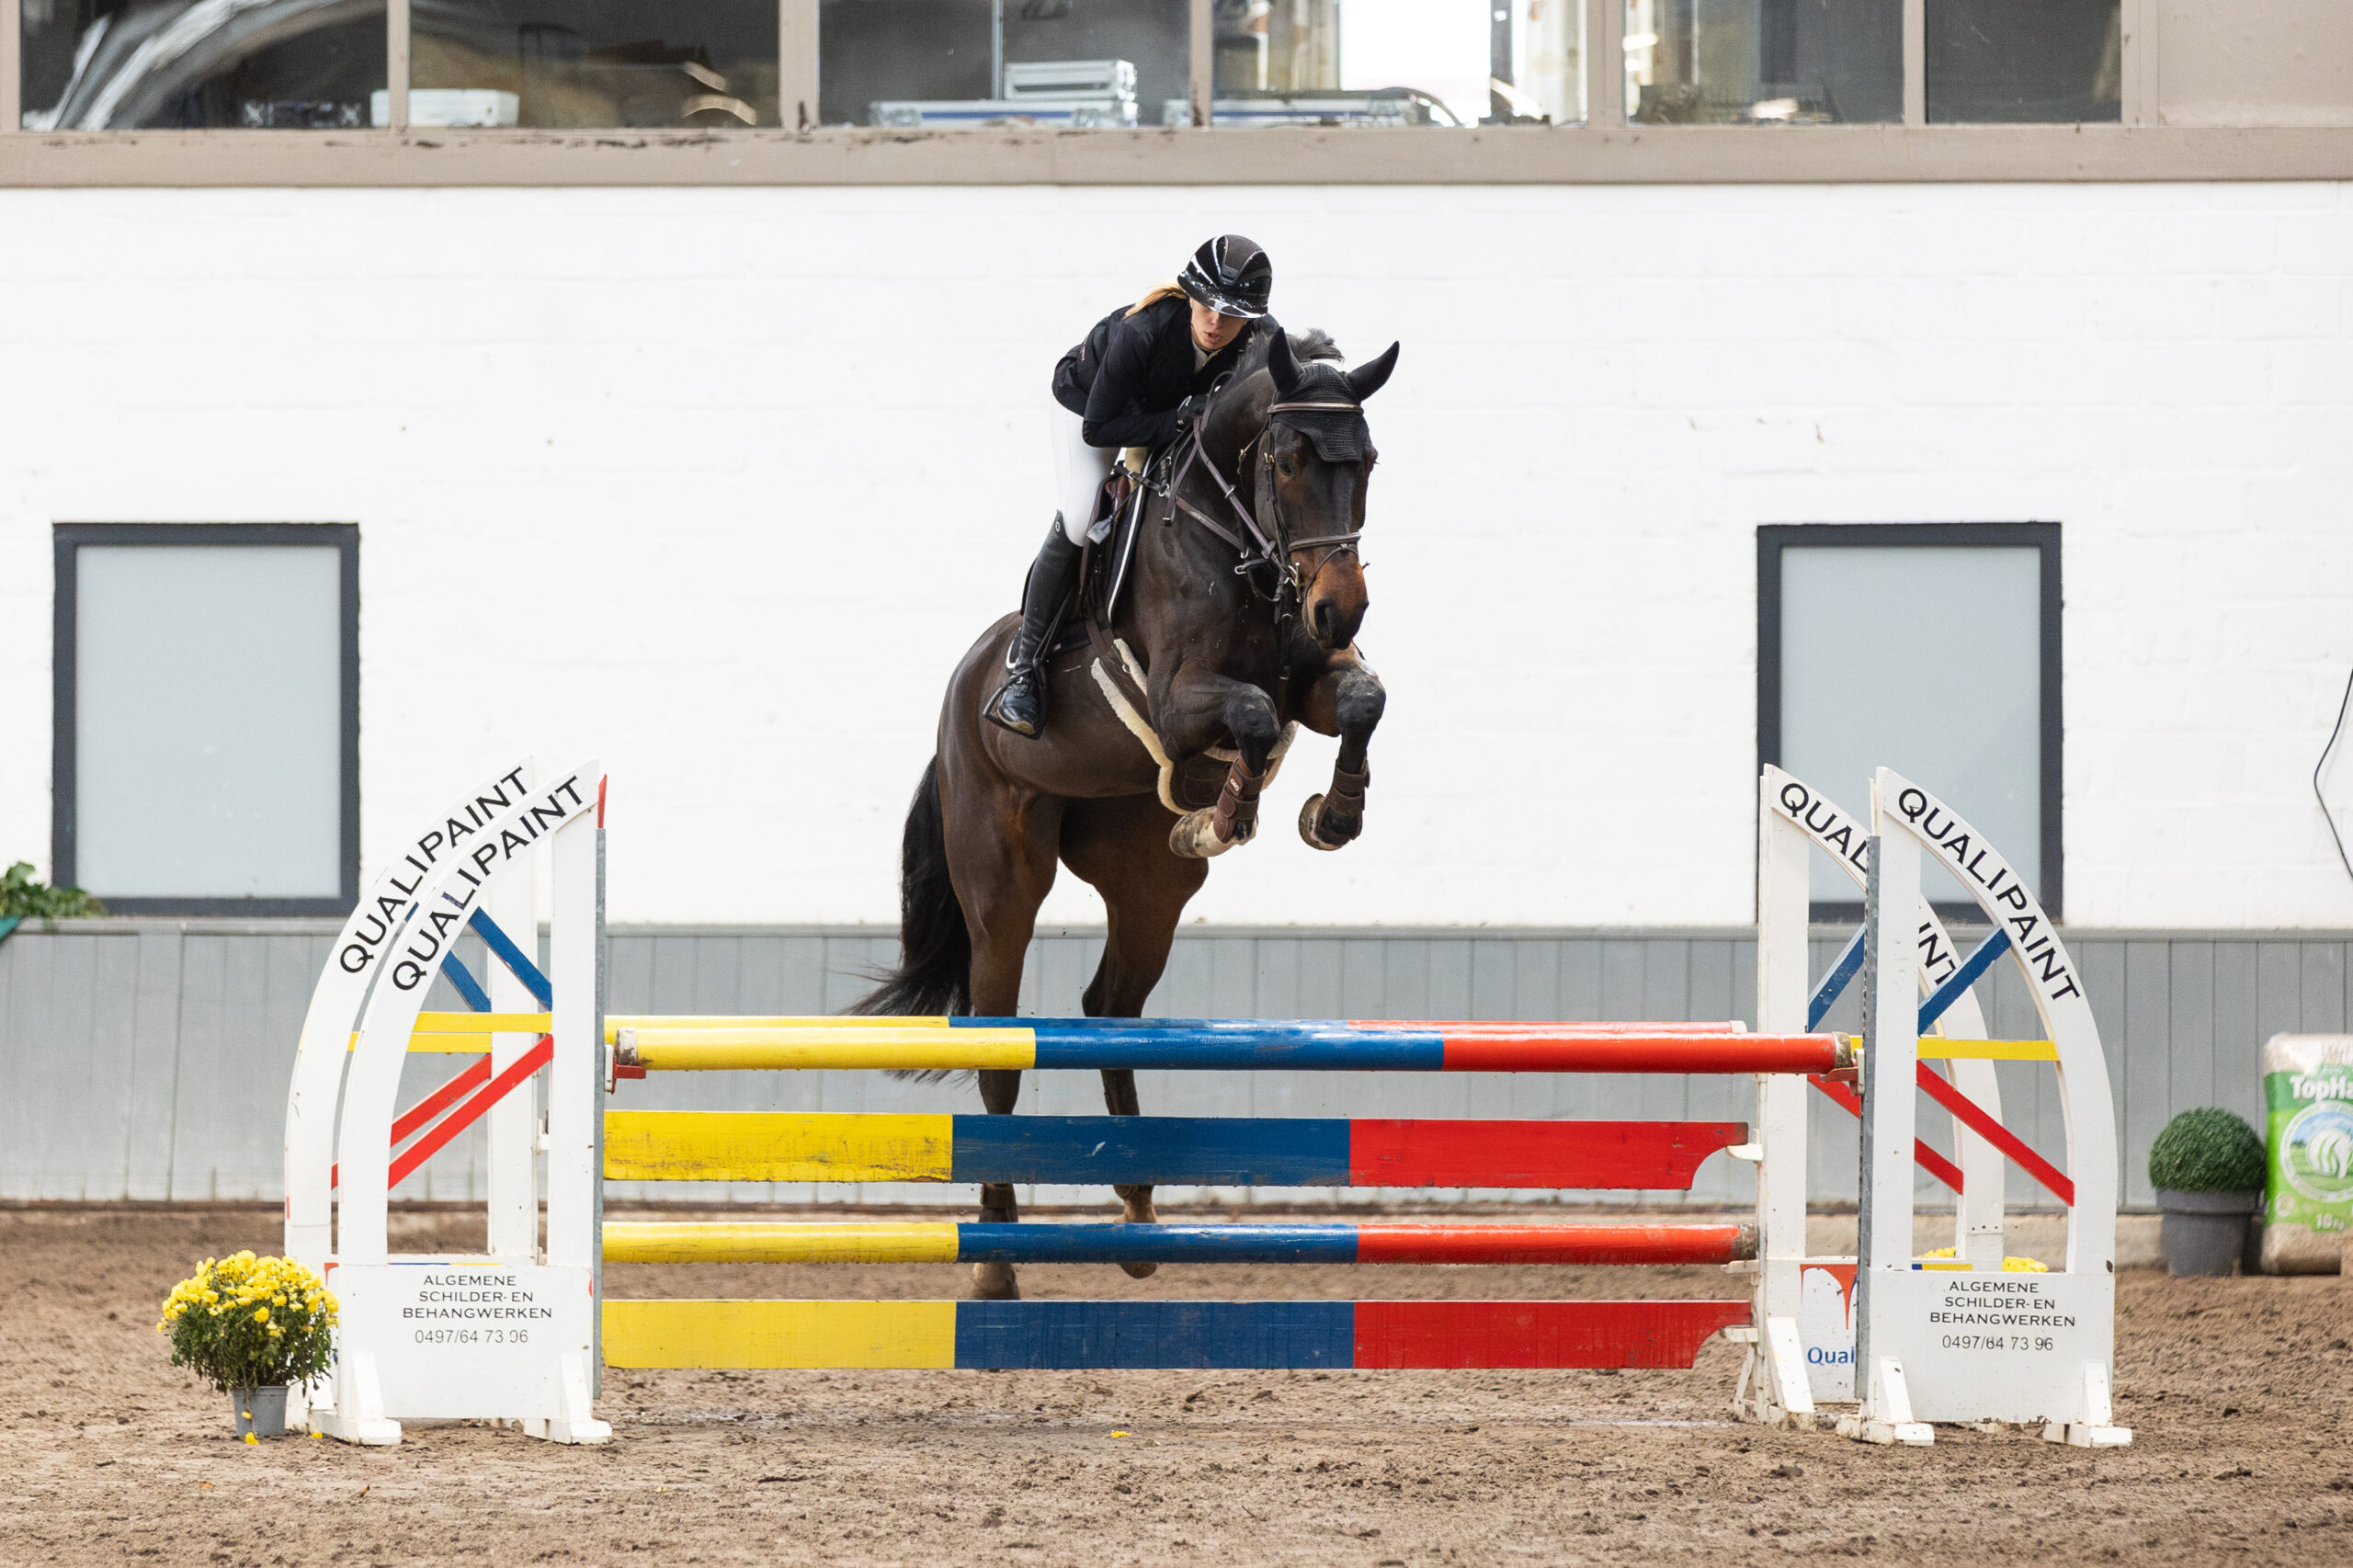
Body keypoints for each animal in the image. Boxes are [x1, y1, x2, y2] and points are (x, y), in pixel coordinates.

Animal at [855, 325, 1399, 1299]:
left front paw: (1331, 814)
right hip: (1003, 880)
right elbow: (1252, 716)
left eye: (1368, 461)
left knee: (1109, 1006)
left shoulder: (1311, 673)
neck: (1238, 537)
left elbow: (1363, 698)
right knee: (1003, 1046)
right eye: (1289, 460)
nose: (1341, 607)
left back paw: (1142, 1214)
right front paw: (1229, 812)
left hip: (1147, 883)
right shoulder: (1184, 698)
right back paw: (996, 1259)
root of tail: (961, 693)